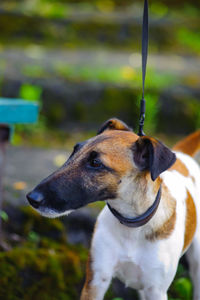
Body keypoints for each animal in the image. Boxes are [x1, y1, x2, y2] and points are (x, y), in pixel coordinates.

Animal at [27, 119, 200, 300]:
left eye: (95, 163)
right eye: (74, 151)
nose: (32, 198)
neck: (131, 225)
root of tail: (181, 155)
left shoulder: (156, 290)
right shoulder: (96, 281)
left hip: (196, 261)